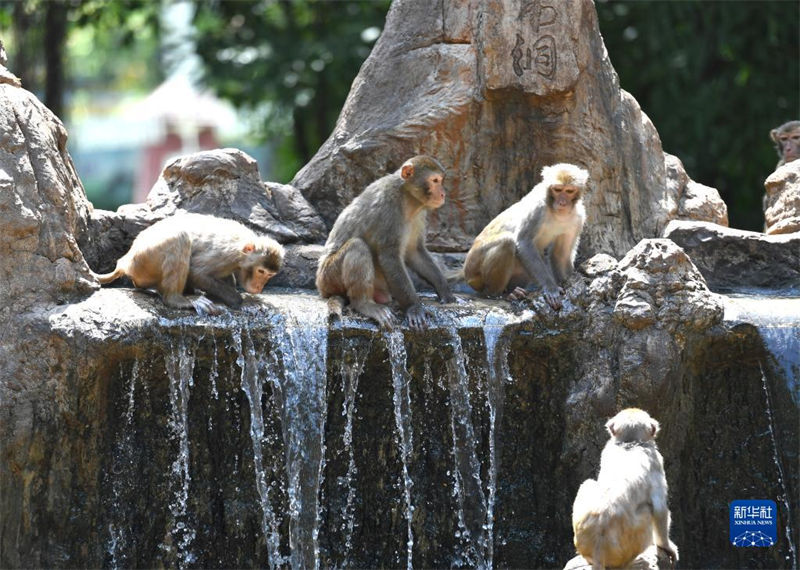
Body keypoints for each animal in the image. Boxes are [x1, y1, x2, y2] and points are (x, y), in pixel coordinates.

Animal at [90, 212, 284, 312]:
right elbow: (197, 273)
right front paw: (236, 298)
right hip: (144, 260)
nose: (259, 286)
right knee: (180, 238)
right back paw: (177, 299)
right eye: (261, 272)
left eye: (269, 275)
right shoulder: (227, 255)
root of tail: (125, 261)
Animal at [318, 154, 456, 328]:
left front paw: (444, 289)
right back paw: (364, 304)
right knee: (357, 246)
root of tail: (321, 286)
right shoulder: (388, 208)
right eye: (435, 180)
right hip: (329, 276)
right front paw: (414, 307)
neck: (407, 198)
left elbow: (414, 252)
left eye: (440, 180)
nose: (443, 194)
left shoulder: (419, 215)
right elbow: (389, 257)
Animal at [456, 160, 588, 310]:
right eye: (558, 189)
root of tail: (466, 271)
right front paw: (551, 288)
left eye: (569, 191)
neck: (557, 212)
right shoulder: (538, 208)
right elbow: (524, 242)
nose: (562, 202)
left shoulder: (577, 218)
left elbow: (560, 253)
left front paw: (572, 280)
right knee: (507, 242)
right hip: (475, 272)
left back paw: (512, 290)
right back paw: (497, 294)